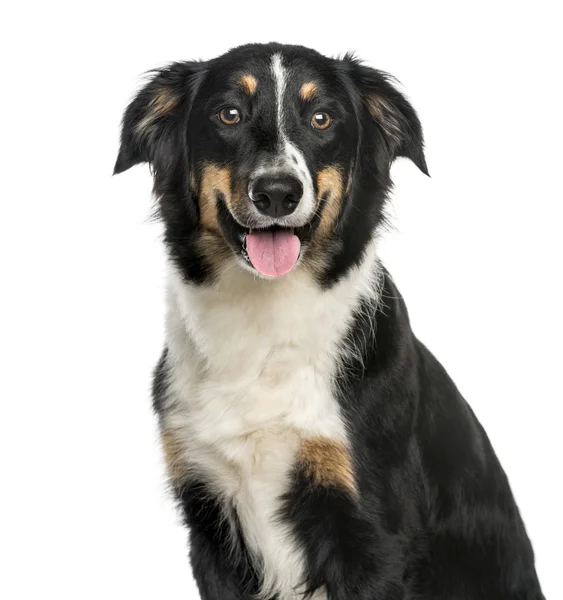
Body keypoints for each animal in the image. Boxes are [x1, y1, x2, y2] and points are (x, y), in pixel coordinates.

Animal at [115, 43, 548, 600]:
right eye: (228, 114)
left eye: (321, 119)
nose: (277, 193)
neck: (265, 328)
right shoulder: (209, 519)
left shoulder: (374, 528)